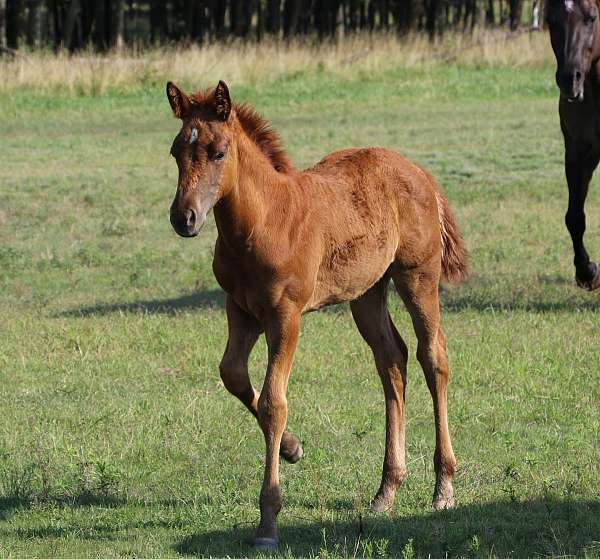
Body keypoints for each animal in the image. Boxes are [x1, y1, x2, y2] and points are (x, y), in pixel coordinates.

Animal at [165, 80, 468, 552]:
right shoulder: (240, 309)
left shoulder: (285, 316)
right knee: (392, 360)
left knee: (432, 357)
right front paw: (291, 448)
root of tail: (420, 171)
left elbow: (273, 403)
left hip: (418, 275)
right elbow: (232, 374)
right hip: (366, 292)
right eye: (177, 150)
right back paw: (386, 491)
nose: (184, 218)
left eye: (217, 152)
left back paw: (443, 488)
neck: (263, 221)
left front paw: (268, 523)